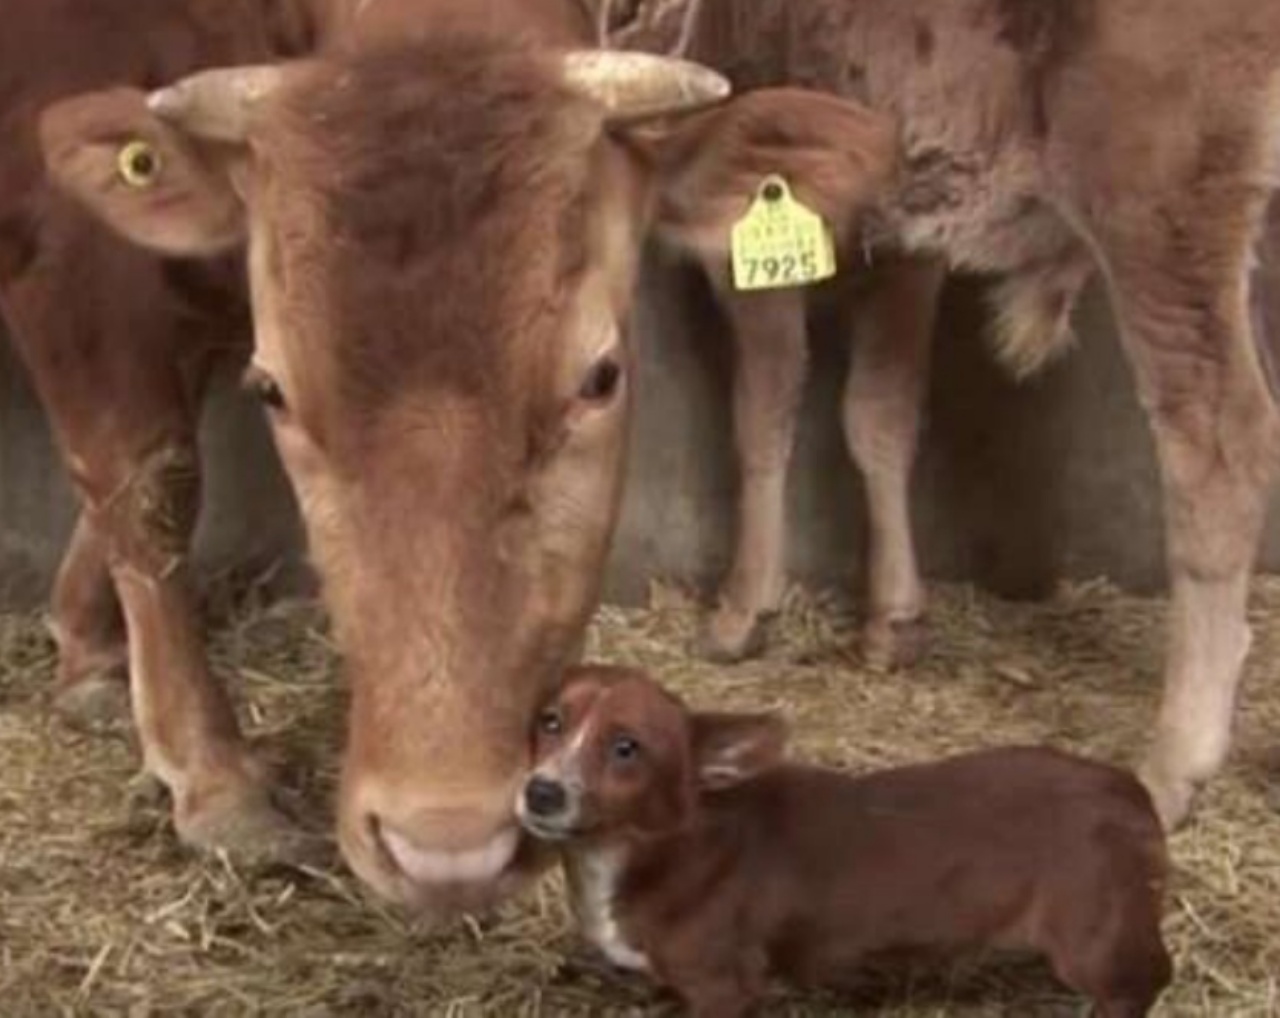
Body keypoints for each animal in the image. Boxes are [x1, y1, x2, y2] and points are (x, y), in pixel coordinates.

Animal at [20, 0, 901, 906]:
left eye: (601, 377)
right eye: (273, 391)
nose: (444, 847)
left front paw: (88, 651)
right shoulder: (80, 269)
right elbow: (145, 478)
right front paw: (211, 775)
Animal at [517, 665, 1172, 1014]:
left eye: (626, 748)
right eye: (550, 720)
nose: (540, 793)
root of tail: (1130, 792)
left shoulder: (724, 985)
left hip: (1093, 943)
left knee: (1145, 980)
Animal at [596, 0, 1280, 829]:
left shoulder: (754, 217)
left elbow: (763, 408)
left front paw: (740, 610)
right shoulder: (906, 226)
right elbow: (880, 413)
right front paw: (892, 619)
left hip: (1161, 207)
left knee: (1222, 448)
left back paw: (1175, 762)